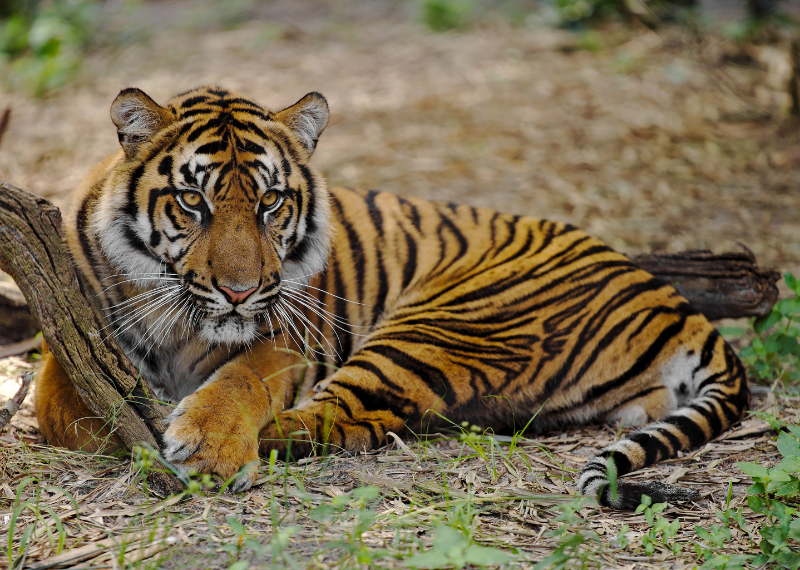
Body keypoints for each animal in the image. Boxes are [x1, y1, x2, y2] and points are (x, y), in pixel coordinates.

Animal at [34, 85, 750, 510]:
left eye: (270, 202)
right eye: (192, 200)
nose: (240, 291)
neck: (183, 324)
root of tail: (671, 299)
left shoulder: (289, 340)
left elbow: (240, 381)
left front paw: (207, 444)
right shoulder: (72, 336)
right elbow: (75, 409)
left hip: (441, 323)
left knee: (345, 419)